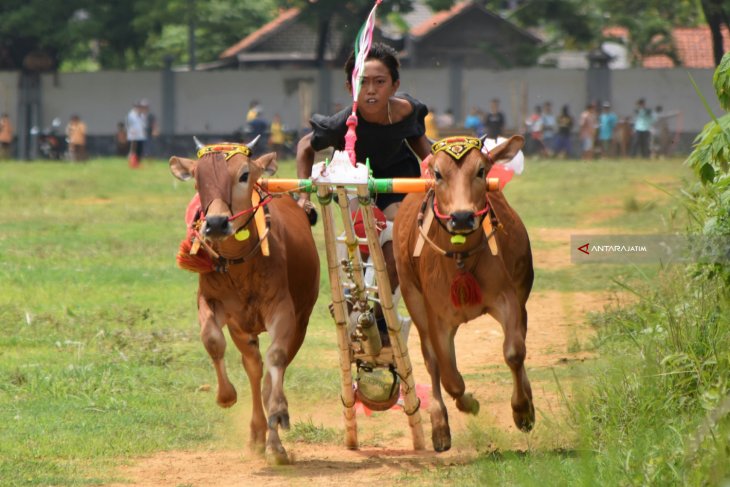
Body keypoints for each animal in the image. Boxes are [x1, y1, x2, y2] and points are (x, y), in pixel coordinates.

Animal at [172, 142, 320, 466]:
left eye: (243, 174)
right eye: (198, 178)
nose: (215, 223)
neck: (241, 265)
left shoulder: (284, 311)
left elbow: (277, 358)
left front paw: (279, 414)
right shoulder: (215, 305)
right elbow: (212, 341)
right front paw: (226, 396)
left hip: (301, 322)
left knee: (271, 372)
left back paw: (273, 439)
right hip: (244, 330)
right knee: (253, 368)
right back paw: (257, 434)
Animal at [396, 135, 532, 452]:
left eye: (481, 170)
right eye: (437, 173)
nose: (461, 217)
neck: (461, 259)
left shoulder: (508, 299)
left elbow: (514, 352)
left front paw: (522, 411)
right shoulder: (436, 316)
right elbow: (450, 378)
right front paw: (468, 404)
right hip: (414, 301)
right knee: (433, 363)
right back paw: (439, 426)